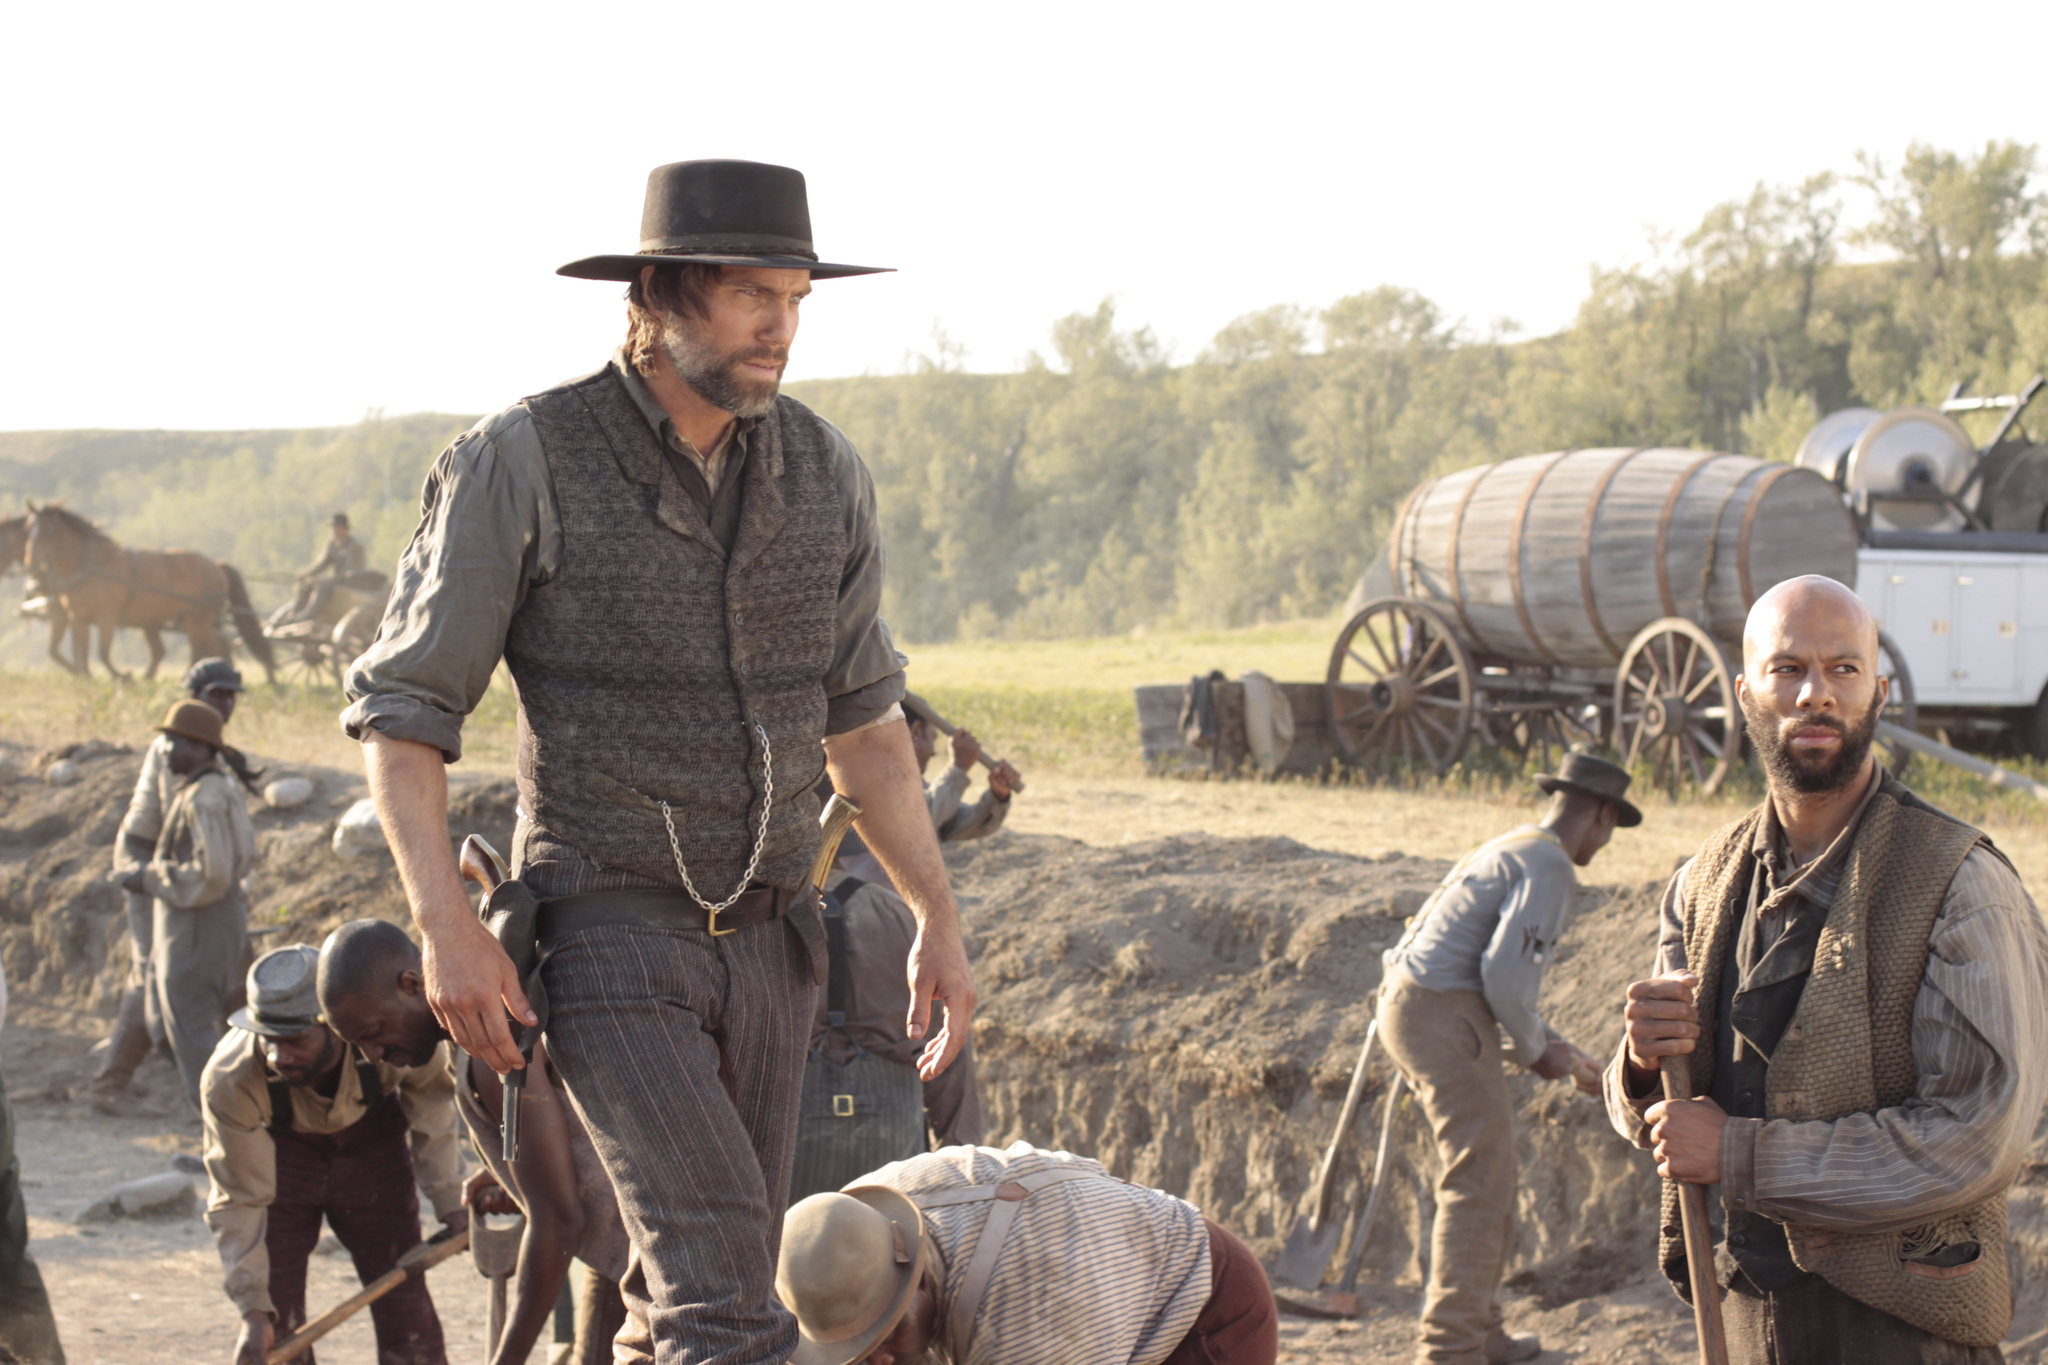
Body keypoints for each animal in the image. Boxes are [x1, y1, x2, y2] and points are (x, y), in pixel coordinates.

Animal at [24, 507, 278, 683]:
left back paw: (184, 677)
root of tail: (215, 565)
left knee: (199, 649)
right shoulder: (77, 618)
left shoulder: (107, 618)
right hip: (193, 620)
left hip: (195, 618)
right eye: (28, 530)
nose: (30, 565)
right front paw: (86, 678)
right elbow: (81, 653)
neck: (91, 566)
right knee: (216, 646)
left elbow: (102, 653)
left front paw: (123, 676)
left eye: (47, 531)